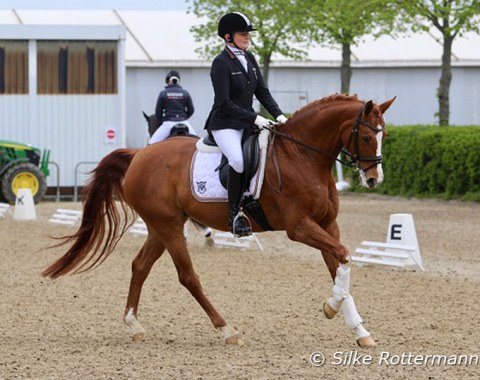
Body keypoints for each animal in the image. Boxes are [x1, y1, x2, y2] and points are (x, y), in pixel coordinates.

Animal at [42, 93, 394, 348]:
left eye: (385, 135)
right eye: (366, 136)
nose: (374, 179)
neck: (303, 157)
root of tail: (139, 155)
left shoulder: (327, 225)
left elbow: (339, 265)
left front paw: (358, 329)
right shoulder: (299, 228)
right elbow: (344, 255)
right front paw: (331, 307)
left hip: (160, 226)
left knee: (140, 266)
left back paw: (134, 324)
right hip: (169, 227)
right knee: (188, 276)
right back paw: (226, 329)